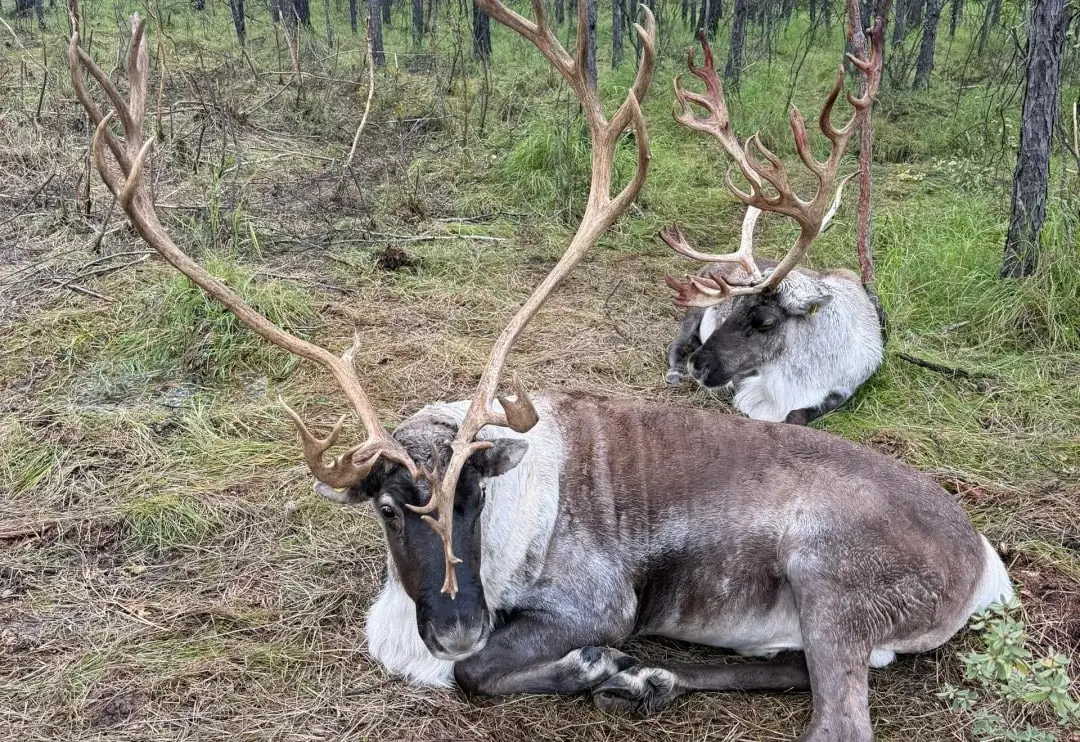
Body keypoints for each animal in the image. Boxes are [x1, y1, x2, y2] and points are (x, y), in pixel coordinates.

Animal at [661, 30, 886, 426]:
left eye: (765, 322)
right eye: (729, 309)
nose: (698, 366)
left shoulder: (843, 390)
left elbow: (798, 415)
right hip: (695, 306)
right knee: (677, 340)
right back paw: (675, 368)